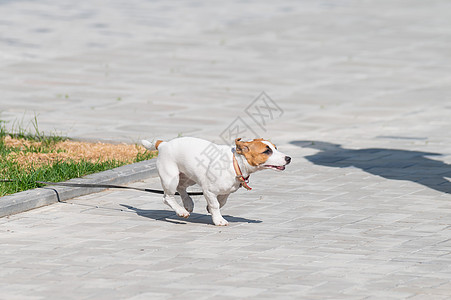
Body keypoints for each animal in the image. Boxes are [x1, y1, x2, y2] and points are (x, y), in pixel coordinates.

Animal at [141, 136, 292, 225]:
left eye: (275, 148)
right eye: (266, 151)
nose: (289, 158)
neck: (235, 163)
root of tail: (163, 144)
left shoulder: (226, 191)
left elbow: (222, 202)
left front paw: (211, 209)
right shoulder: (208, 190)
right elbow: (215, 204)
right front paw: (218, 219)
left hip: (189, 176)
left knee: (181, 188)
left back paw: (188, 203)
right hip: (170, 178)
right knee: (167, 197)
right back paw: (181, 211)